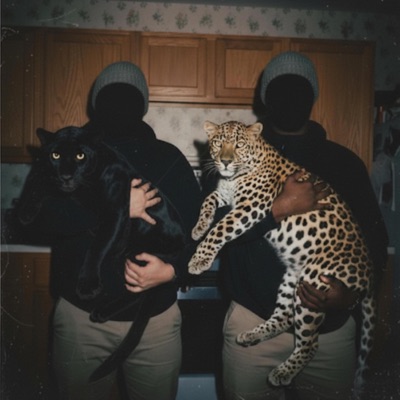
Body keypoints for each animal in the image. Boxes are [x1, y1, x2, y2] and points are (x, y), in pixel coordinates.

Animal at [188, 120, 375, 395]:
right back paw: (251, 336)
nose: (225, 162)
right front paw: (199, 227)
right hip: (292, 279)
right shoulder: (225, 196)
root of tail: (368, 271)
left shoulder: (251, 207)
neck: (234, 177)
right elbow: (208, 200)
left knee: (311, 344)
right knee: (285, 317)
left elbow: (221, 228)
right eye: (218, 143)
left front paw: (199, 259)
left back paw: (282, 373)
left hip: (314, 283)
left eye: (239, 144)